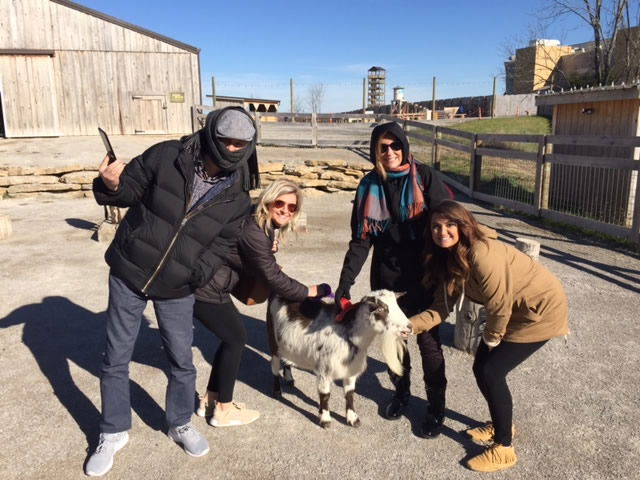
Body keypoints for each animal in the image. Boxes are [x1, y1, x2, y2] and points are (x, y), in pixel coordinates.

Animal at [266, 288, 410, 428]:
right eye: (380, 309)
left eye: (397, 305)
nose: (409, 327)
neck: (348, 333)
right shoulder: (324, 370)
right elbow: (325, 395)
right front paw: (325, 420)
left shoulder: (350, 368)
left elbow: (350, 394)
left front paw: (352, 419)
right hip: (273, 341)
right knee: (274, 367)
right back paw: (277, 392)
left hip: (288, 344)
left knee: (287, 360)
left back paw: (289, 378)